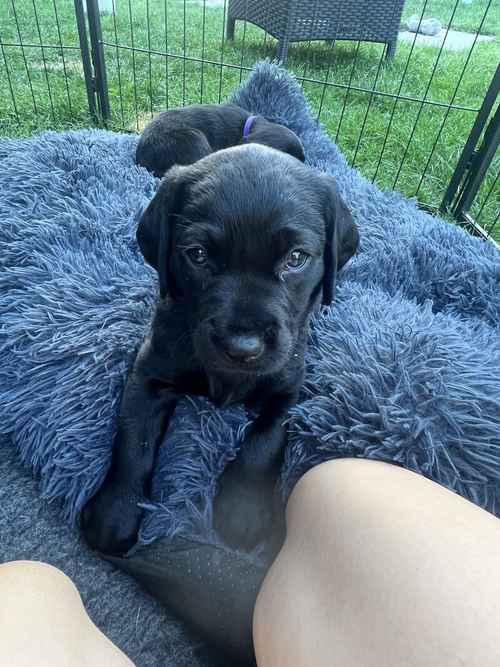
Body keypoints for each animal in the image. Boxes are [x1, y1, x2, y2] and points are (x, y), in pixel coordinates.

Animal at [82, 144, 358, 556]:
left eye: (295, 258)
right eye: (197, 254)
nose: (242, 347)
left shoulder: (289, 385)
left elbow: (265, 440)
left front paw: (244, 510)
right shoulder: (150, 371)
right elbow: (134, 439)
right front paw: (115, 512)